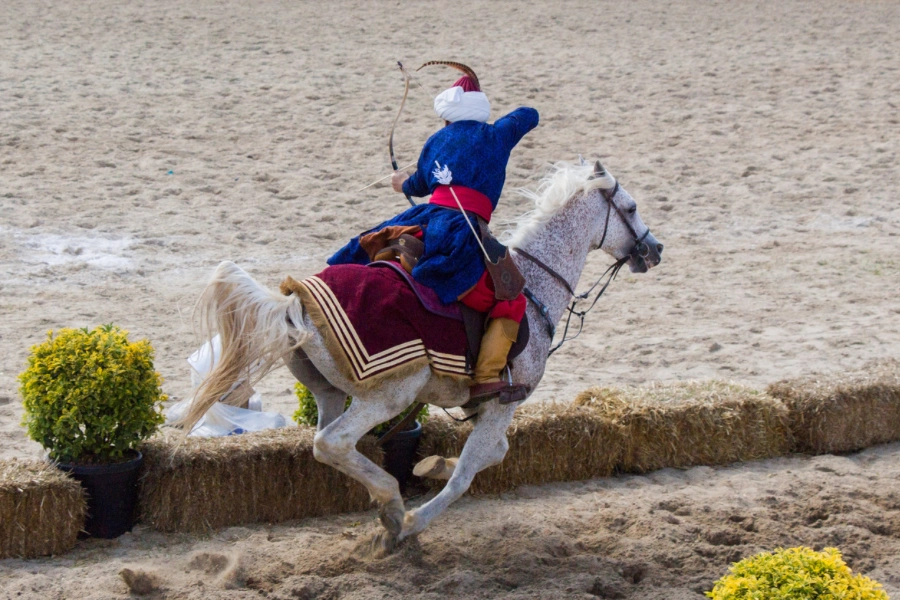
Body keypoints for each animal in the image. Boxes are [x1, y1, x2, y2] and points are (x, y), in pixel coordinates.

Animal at [181, 159, 660, 552]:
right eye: (632, 208)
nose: (654, 249)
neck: (533, 286)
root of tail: (295, 302)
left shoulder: (486, 408)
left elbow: (494, 454)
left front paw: (434, 466)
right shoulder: (503, 403)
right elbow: (468, 473)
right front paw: (416, 518)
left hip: (329, 392)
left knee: (327, 446)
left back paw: (384, 498)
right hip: (389, 395)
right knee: (332, 442)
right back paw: (393, 504)